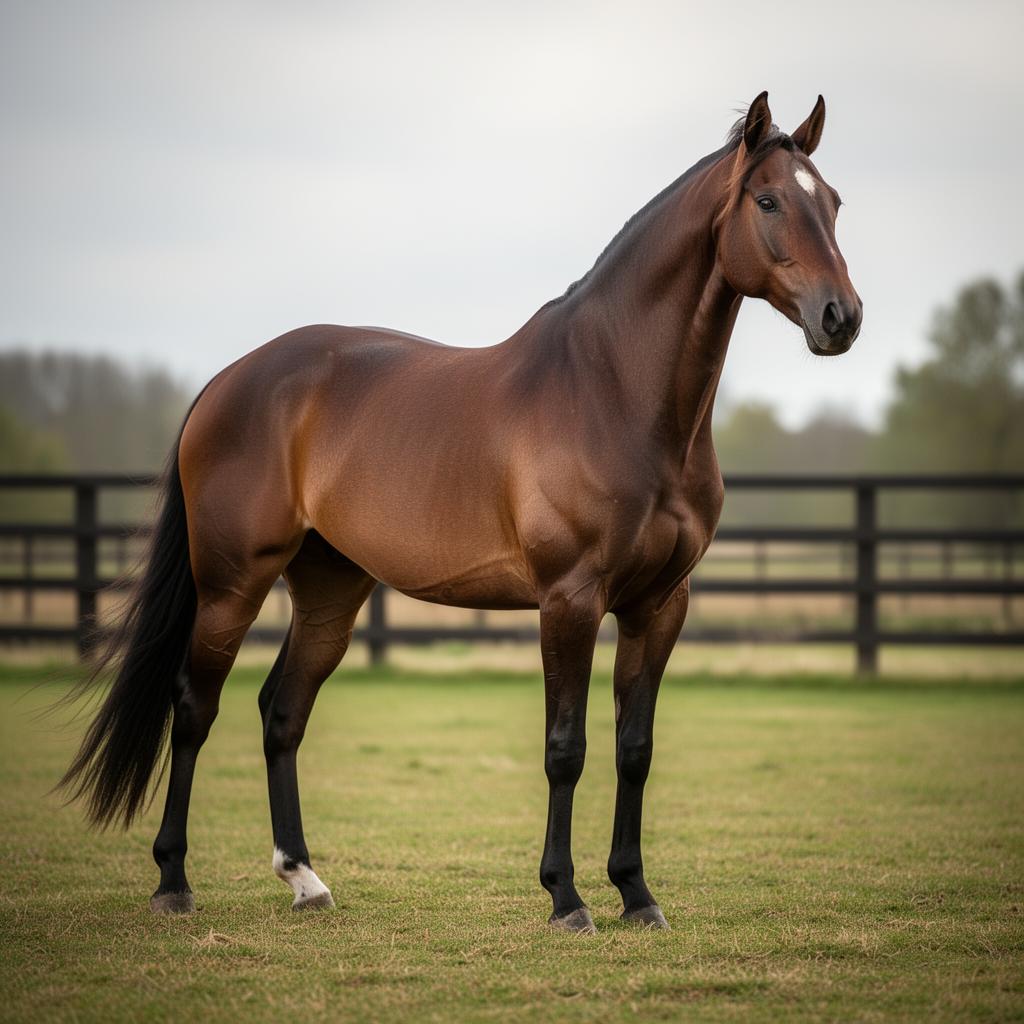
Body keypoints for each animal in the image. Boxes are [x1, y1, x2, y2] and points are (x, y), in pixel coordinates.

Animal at [60, 92, 861, 933]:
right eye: (768, 201)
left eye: (835, 202)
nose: (841, 317)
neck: (612, 393)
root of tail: (225, 382)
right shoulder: (569, 600)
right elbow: (566, 748)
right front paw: (566, 898)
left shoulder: (658, 604)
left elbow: (633, 749)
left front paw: (637, 895)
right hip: (231, 586)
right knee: (194, 707)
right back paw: (172, 881)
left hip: (330, 590)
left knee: (282, 711)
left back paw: (305, 880)